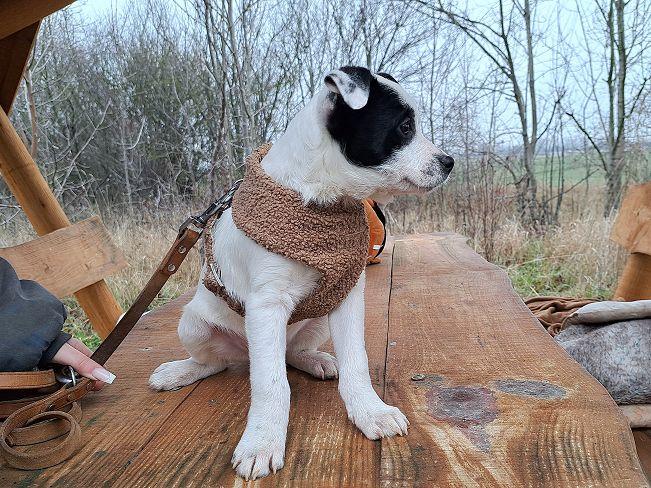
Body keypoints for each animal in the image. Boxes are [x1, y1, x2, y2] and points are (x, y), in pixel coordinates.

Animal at [149, 66, 454, 480]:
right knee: (216, 362)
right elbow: (271, 384)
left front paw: (369, 411)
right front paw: (262, 442)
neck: (320, 201)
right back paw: (177, 372)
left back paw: (316, 361)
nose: (449, 162)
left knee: (290, 352)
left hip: (317, 319)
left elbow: (356, 361)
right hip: (194, 323)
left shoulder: (346, 294)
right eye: (405, 127)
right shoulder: (266, 306)